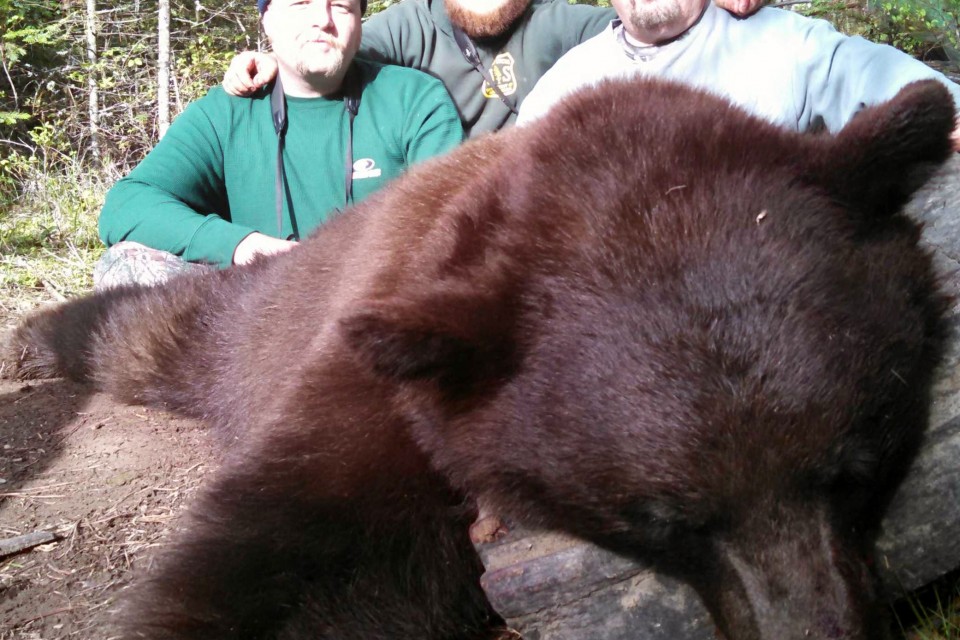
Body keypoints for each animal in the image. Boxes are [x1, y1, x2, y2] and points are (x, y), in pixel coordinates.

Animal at [3, 77, 956, 640]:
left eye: (858, 463)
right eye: (660, 519)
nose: (819, 629)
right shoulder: (390, 383)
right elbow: (287, 556)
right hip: (257, 320)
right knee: (150, 331)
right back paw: (33, 341)